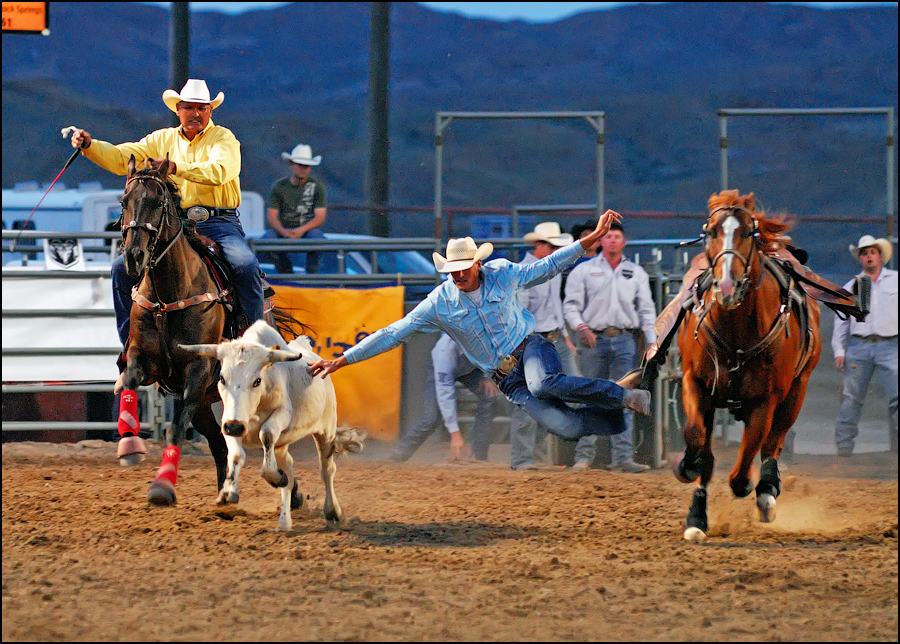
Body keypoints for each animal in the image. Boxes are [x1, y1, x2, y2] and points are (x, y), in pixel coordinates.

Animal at [676, 190, 824, 540]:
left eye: (748, 233)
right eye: (712, 231)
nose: (728, 287)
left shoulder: (764, 400)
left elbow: (747, 458)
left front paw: (749, 487)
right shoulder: (695, 383)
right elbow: (697, 438)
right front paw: (694, 507)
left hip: (797, 390)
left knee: (774, 442)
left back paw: (767, 489)